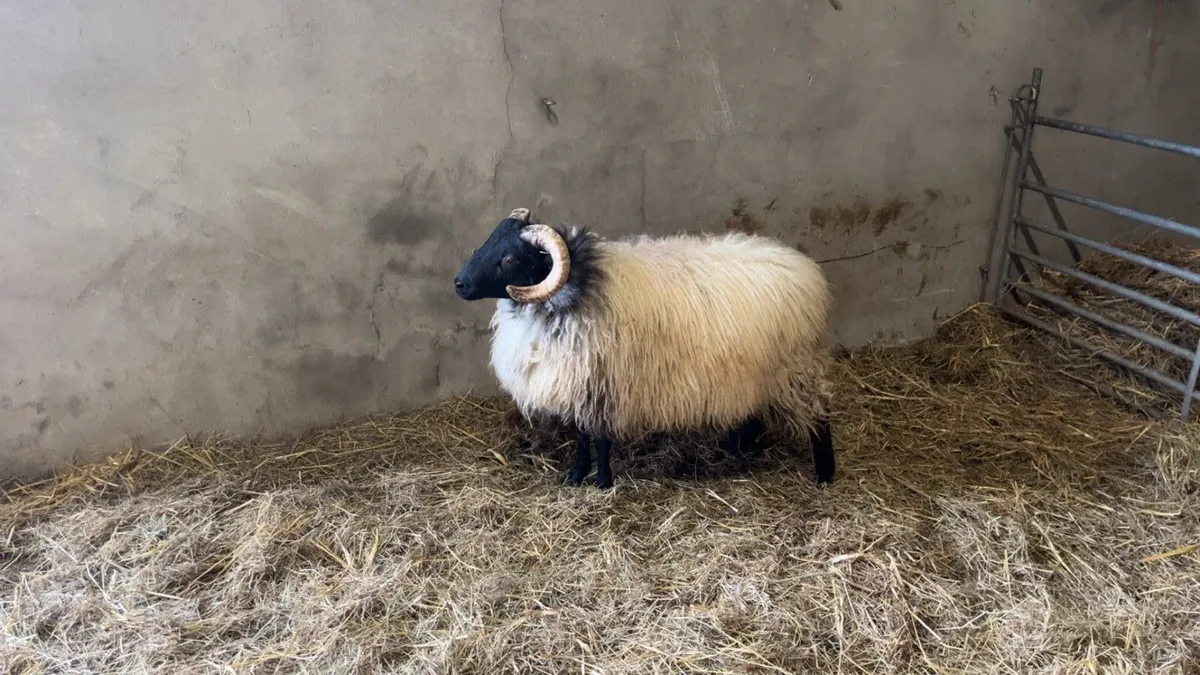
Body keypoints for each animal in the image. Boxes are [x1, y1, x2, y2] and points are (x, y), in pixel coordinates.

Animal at [453, 207, 835, 490]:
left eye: (510, 259)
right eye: (488, 241)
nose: (459, 283)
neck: (575, 290)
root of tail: (807, 272)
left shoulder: (602, 385)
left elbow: (599, 439)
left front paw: (602, 483)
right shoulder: (581, 386)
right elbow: (582, 437)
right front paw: (575, 478)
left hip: (795, 368)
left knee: (820, 416)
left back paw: (825, 475)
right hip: (757, 372)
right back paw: (742, 452)